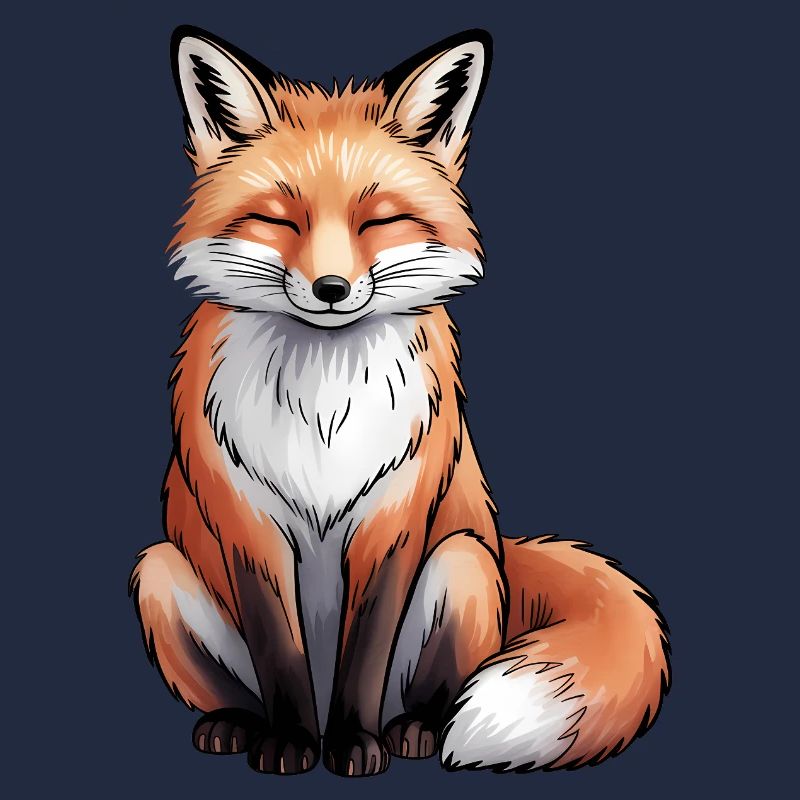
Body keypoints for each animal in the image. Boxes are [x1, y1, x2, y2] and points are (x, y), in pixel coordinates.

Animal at [130, 25, 671, 777]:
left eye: (378, 221)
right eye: (277, 219)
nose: (330, 288)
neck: (323, 410)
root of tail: (504, 547)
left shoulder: (393, 518)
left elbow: (366, 652)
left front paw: (353, 745)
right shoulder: (248, 526)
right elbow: (279, 650)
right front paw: (291, 744)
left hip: (463, 563)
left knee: (430, 695)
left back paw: (410, 733)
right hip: (157, 570)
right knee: (237, 686)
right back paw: (238, 725)